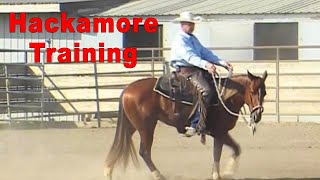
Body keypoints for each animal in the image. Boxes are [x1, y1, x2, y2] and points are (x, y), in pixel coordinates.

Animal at [103, 69, 268, 180]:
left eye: (264, 92)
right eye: (252, 91)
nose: (257, 115)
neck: (225, 97)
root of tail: (127, 89)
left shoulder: (220, 132)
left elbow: (235, 148)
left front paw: (228, 172)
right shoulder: (220, 132)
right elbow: (218, 153)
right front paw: (221, 174)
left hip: (131, 126)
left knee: (119, 145)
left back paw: (108, 171)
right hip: (146, 127)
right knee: (144, 152)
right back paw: (159, 175)